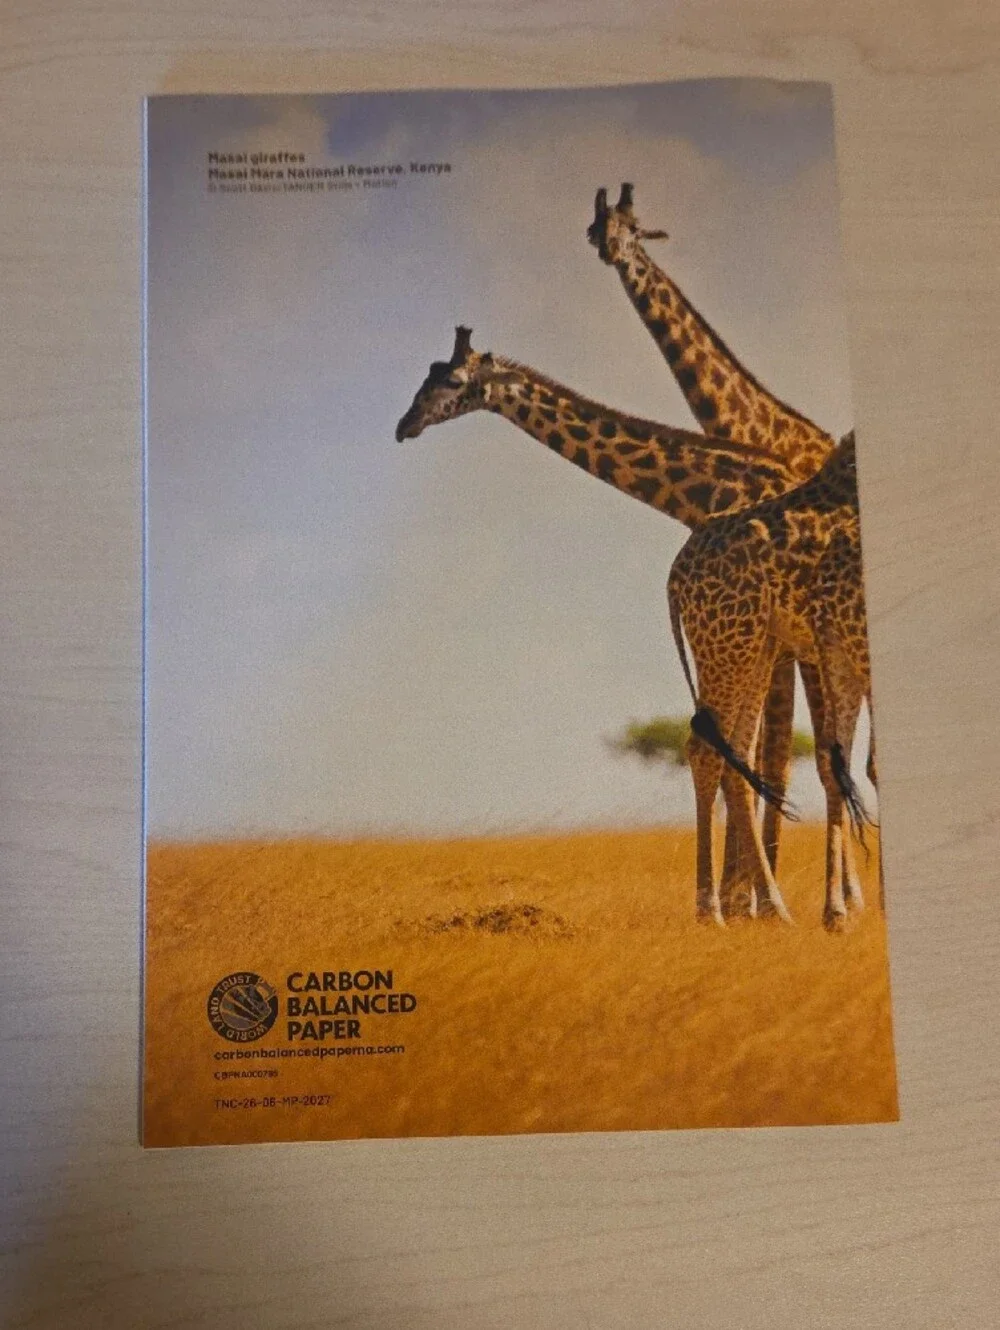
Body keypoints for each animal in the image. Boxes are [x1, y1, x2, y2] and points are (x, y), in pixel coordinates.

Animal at [667, 433, 873, 930]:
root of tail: (676, 575)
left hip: (758, 644)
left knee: (738, 752)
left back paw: (771, 908)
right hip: (730, 642)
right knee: (707, 749)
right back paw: (715, 910)